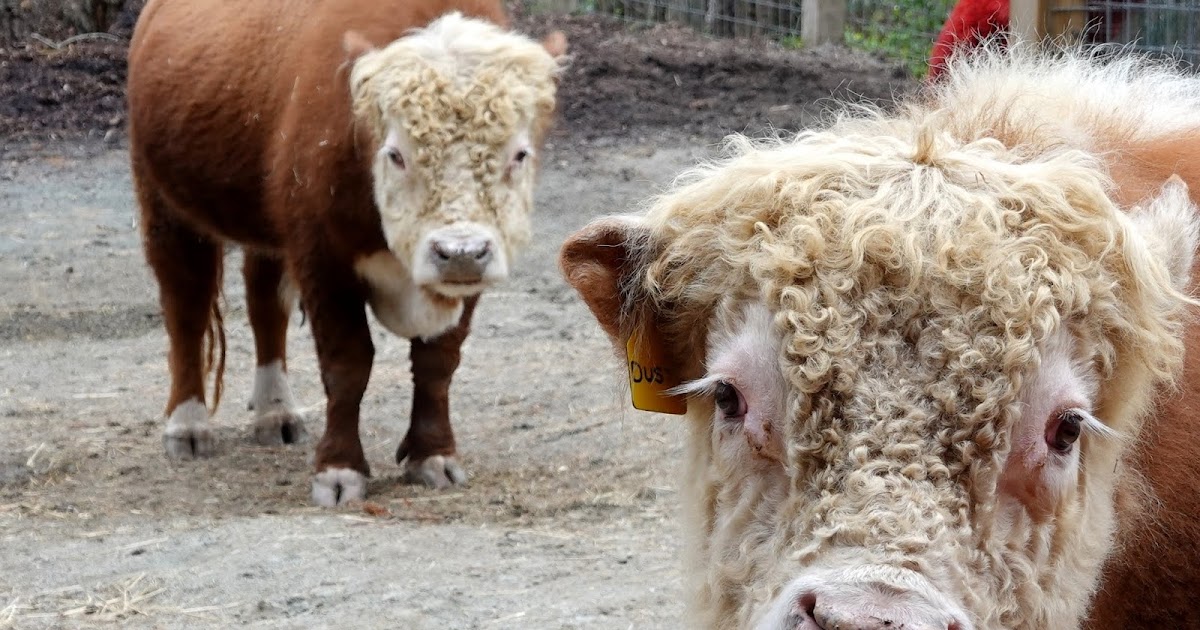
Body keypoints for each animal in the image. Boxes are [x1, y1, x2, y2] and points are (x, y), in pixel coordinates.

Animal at [127, 0, 567, 506]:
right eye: (396, 154)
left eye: (520, 154)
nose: (458, 252)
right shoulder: (321, 255)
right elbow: (348, 364)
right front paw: (339, 469)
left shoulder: (474, 270)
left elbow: (437, 363)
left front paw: (433, 455)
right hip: (165, 205)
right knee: (186, 307)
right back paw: (188, 424)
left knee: (265, 304)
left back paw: (275, 412)